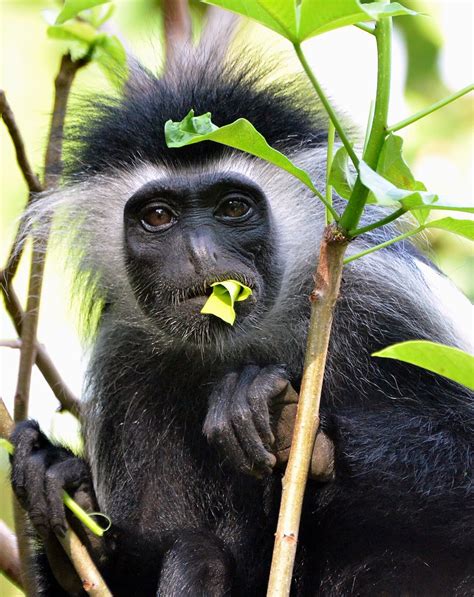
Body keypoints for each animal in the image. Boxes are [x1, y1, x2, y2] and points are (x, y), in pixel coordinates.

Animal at [9, 40, 472, 592]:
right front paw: (62, 487)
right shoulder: (125, 370)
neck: (241, 343)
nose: (200, 253)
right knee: (196, 552)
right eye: (158, 216)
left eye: (233, 207)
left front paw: (288, 421)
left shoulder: (388, 299)